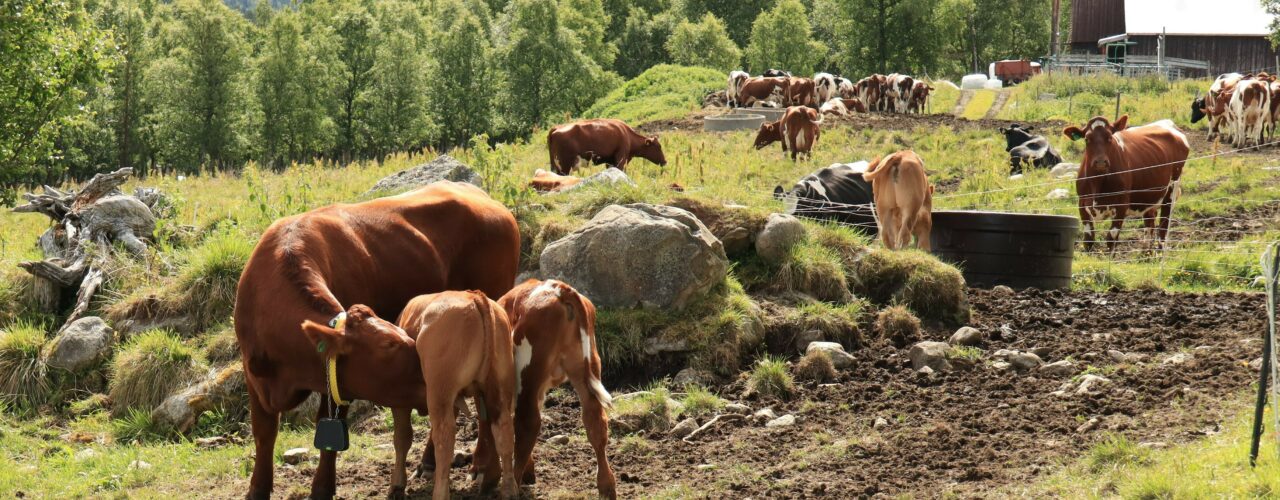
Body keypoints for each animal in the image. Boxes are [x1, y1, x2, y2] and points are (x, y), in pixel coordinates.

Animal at [235, 182, 519, 500]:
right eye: (389, 344)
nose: (425, 368)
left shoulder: (338, 382)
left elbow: (328, 436)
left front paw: (322, 488)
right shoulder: (254, 376)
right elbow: (264, 435)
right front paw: (257, 489)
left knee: (479, 416)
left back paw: (480, 465)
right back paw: (436, 462)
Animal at [1059, 115, 1187, 253]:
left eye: (1109, 137)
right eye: (1087, 139)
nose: (1101, 162)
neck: (1097, 183)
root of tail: (1168, 123)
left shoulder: (1121, 205)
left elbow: (1111, 238)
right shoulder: (1082, 203)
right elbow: (1088, 239)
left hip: (1172, 189)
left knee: (1164, 224)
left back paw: (1160, 252)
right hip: (1149, 196)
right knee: (1150, 221)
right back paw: (1146, 251)